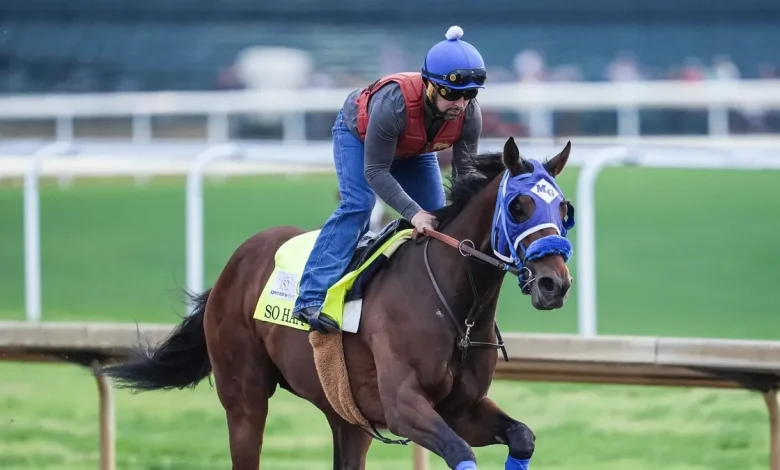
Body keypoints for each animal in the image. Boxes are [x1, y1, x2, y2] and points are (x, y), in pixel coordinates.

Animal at [101, 136, 576, 470]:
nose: (554, 284)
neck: (456, 308)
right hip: (244, 397)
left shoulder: (462, 408)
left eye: (564, 209)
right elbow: (461, 453)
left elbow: (522, 436)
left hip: (345, 414)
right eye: (518, 206)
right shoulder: (404, 406)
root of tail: (234, 264)